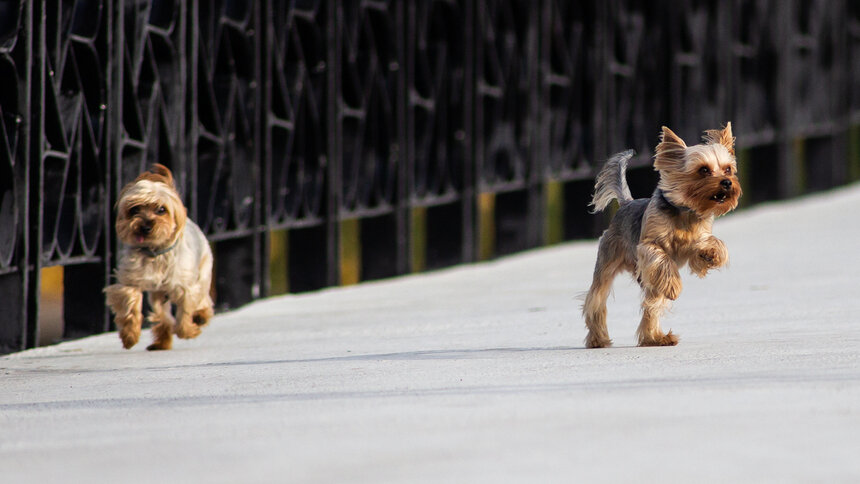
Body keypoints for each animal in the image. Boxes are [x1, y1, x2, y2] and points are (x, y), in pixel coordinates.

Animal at [104, 164, 213, 350]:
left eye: (161, 210)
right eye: (134, 209)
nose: (145, 226)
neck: (155, 252)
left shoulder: (185, 286)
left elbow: (185, 311)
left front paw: (188, 330)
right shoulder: (130, 282)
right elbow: (130, 302)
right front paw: (130, 335)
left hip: (203, 269)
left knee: (203, 298)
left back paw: (200, 316)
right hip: (158, 293)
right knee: (161, 314)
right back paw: (162, 341)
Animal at [584, 123, 740, 346]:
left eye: (728, 169)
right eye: (703, 170)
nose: (727, 182)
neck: (685, 211)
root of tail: (626, 203)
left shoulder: (697, 238)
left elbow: (708, 244)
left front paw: (712, 253)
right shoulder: (648, 247)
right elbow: (662, 258)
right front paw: (674, 286)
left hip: (649, 281)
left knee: (652, 304)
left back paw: (655, 338)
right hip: (607, 261)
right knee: (596, 299)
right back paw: (598, 339)